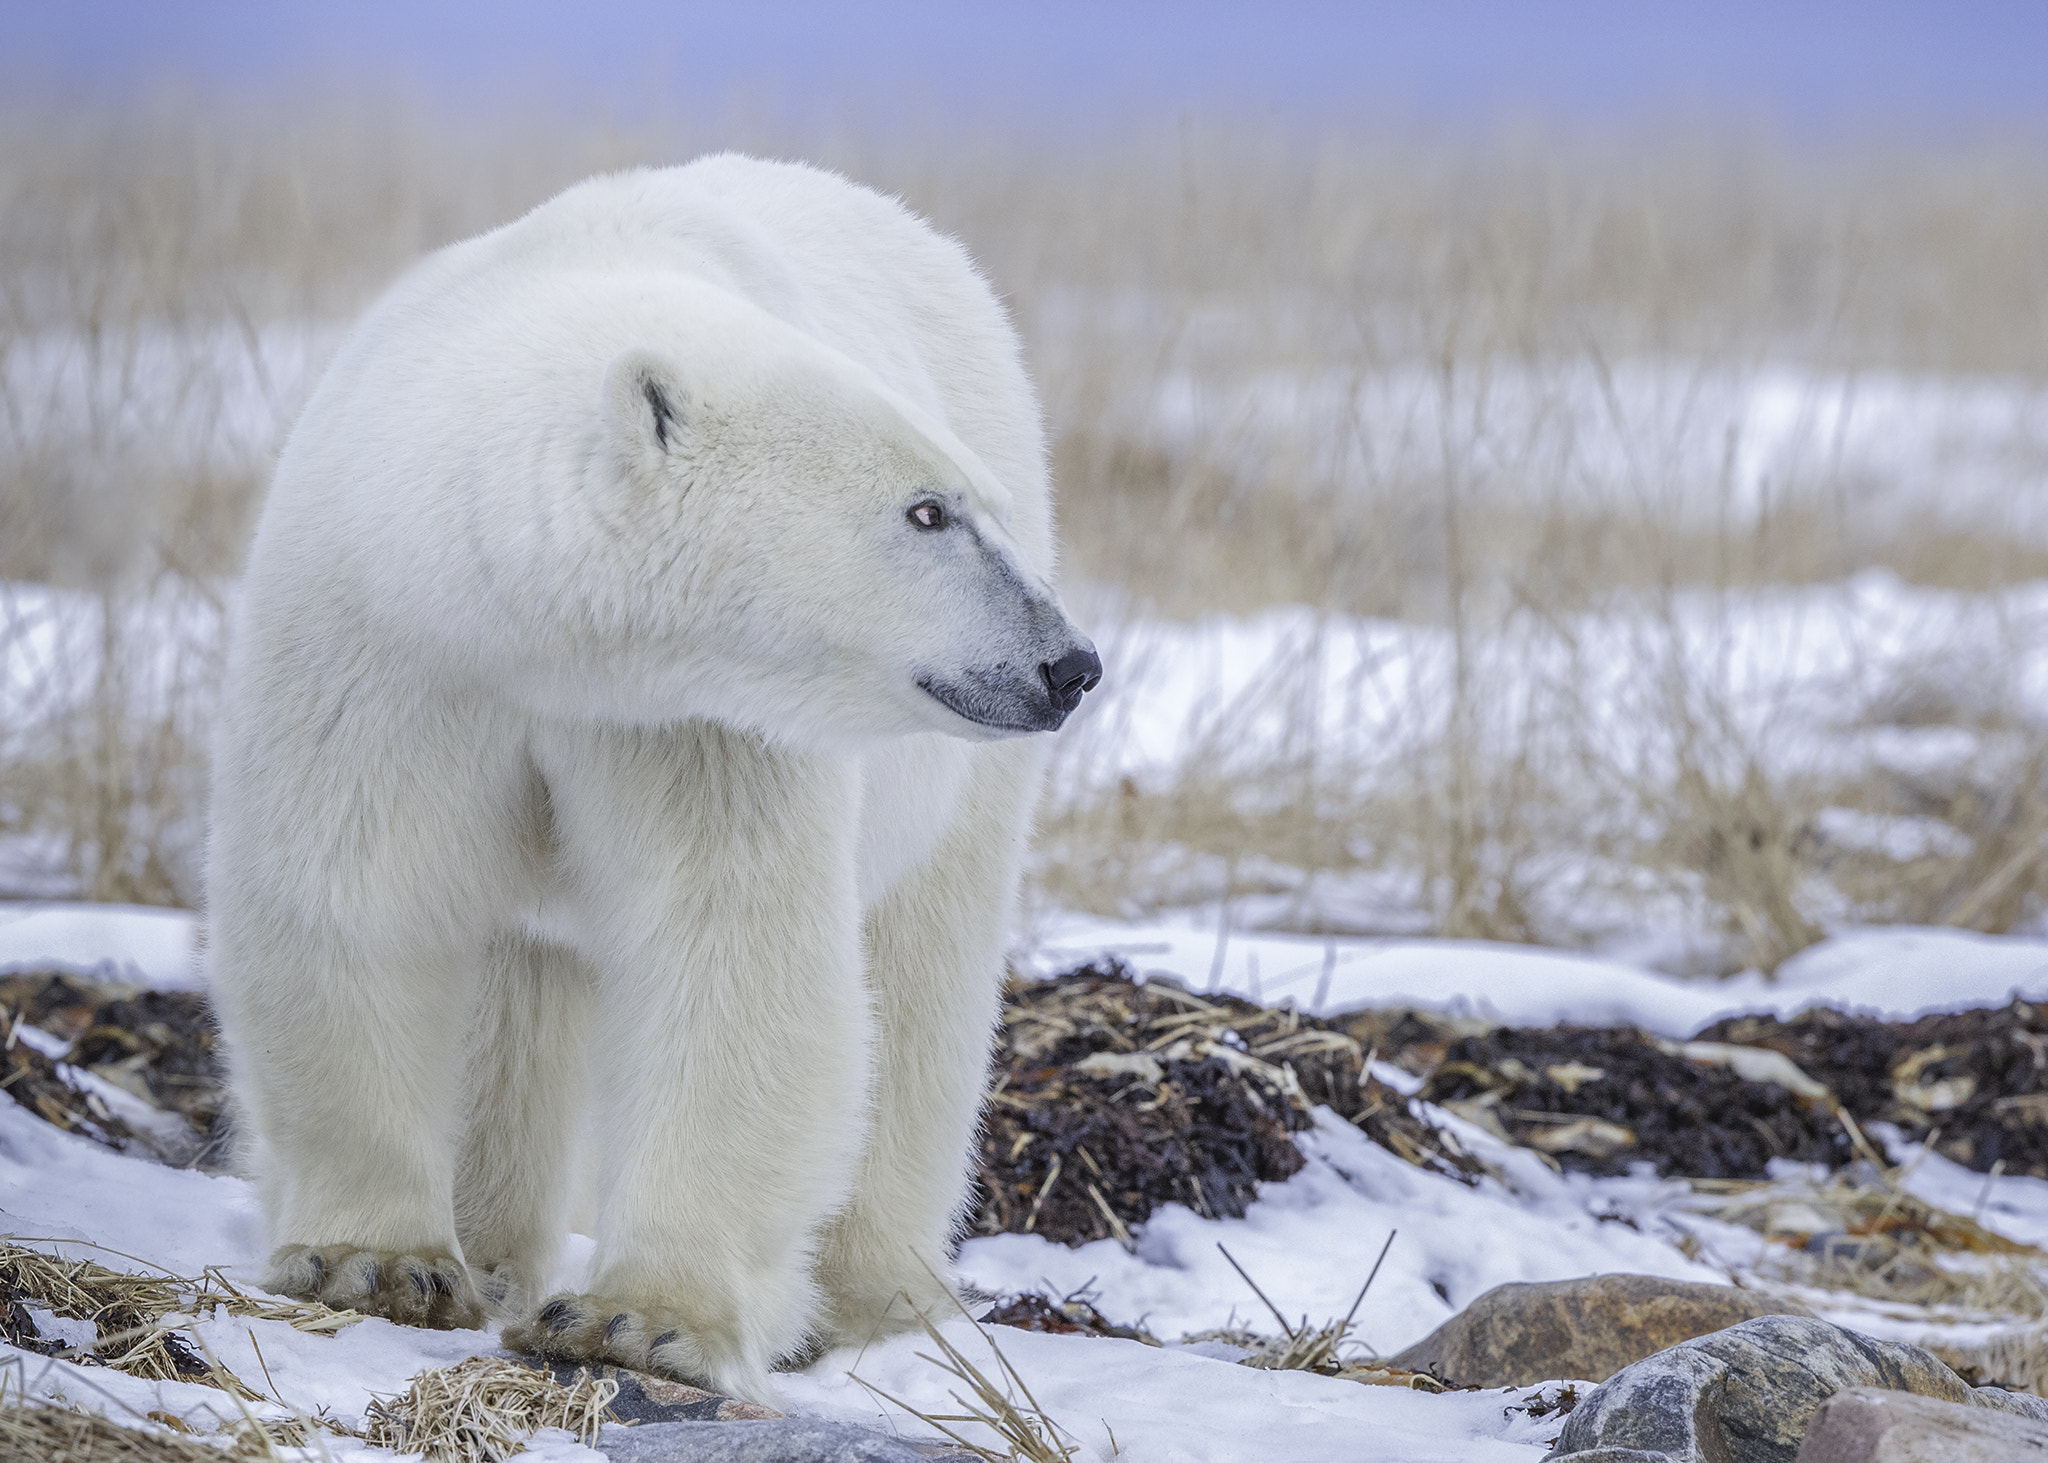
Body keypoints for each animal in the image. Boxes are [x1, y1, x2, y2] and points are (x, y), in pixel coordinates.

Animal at [205, 153, 1097, 1393]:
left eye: (972, 505)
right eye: (927, 510)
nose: (1069, 662)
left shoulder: (697, 719)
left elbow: (724, 946)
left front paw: (638, 1318)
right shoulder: (386, 640)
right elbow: (355, 894)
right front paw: (371, 1262)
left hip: (959, 786)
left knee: (922, 980)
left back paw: (868, 1300)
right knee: (518, 974)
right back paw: (491, 1247)